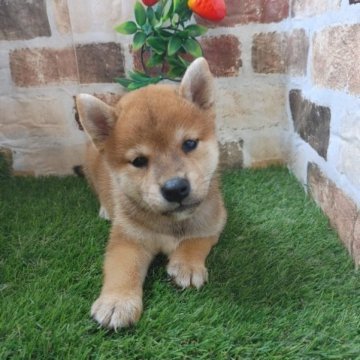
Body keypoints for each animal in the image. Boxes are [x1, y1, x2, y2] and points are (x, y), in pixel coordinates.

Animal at [76, 56, 225, 330]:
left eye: (189, 144)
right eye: (138, 161)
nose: (175, 188)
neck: (171, 225)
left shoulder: (212, 224)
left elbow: (194, 241)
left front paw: (187, 264)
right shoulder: (128, 238)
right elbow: (123, 269)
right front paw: (117, 302)